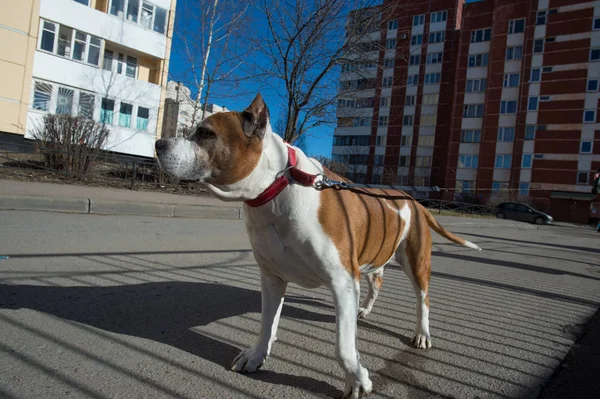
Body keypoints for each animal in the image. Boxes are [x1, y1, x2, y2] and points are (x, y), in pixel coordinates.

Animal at [156, 94, 482, 399]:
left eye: (205, 133)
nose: (159, 143)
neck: (277, 188)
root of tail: (412, 199)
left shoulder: (342, 281)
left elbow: (343, 345)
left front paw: (357, 380)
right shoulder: (273, 279)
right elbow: (266, 324)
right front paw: (256, 355)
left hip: (416, 262)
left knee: (423, 300)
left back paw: (422, 334)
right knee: (377, 281)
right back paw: (365, 309)